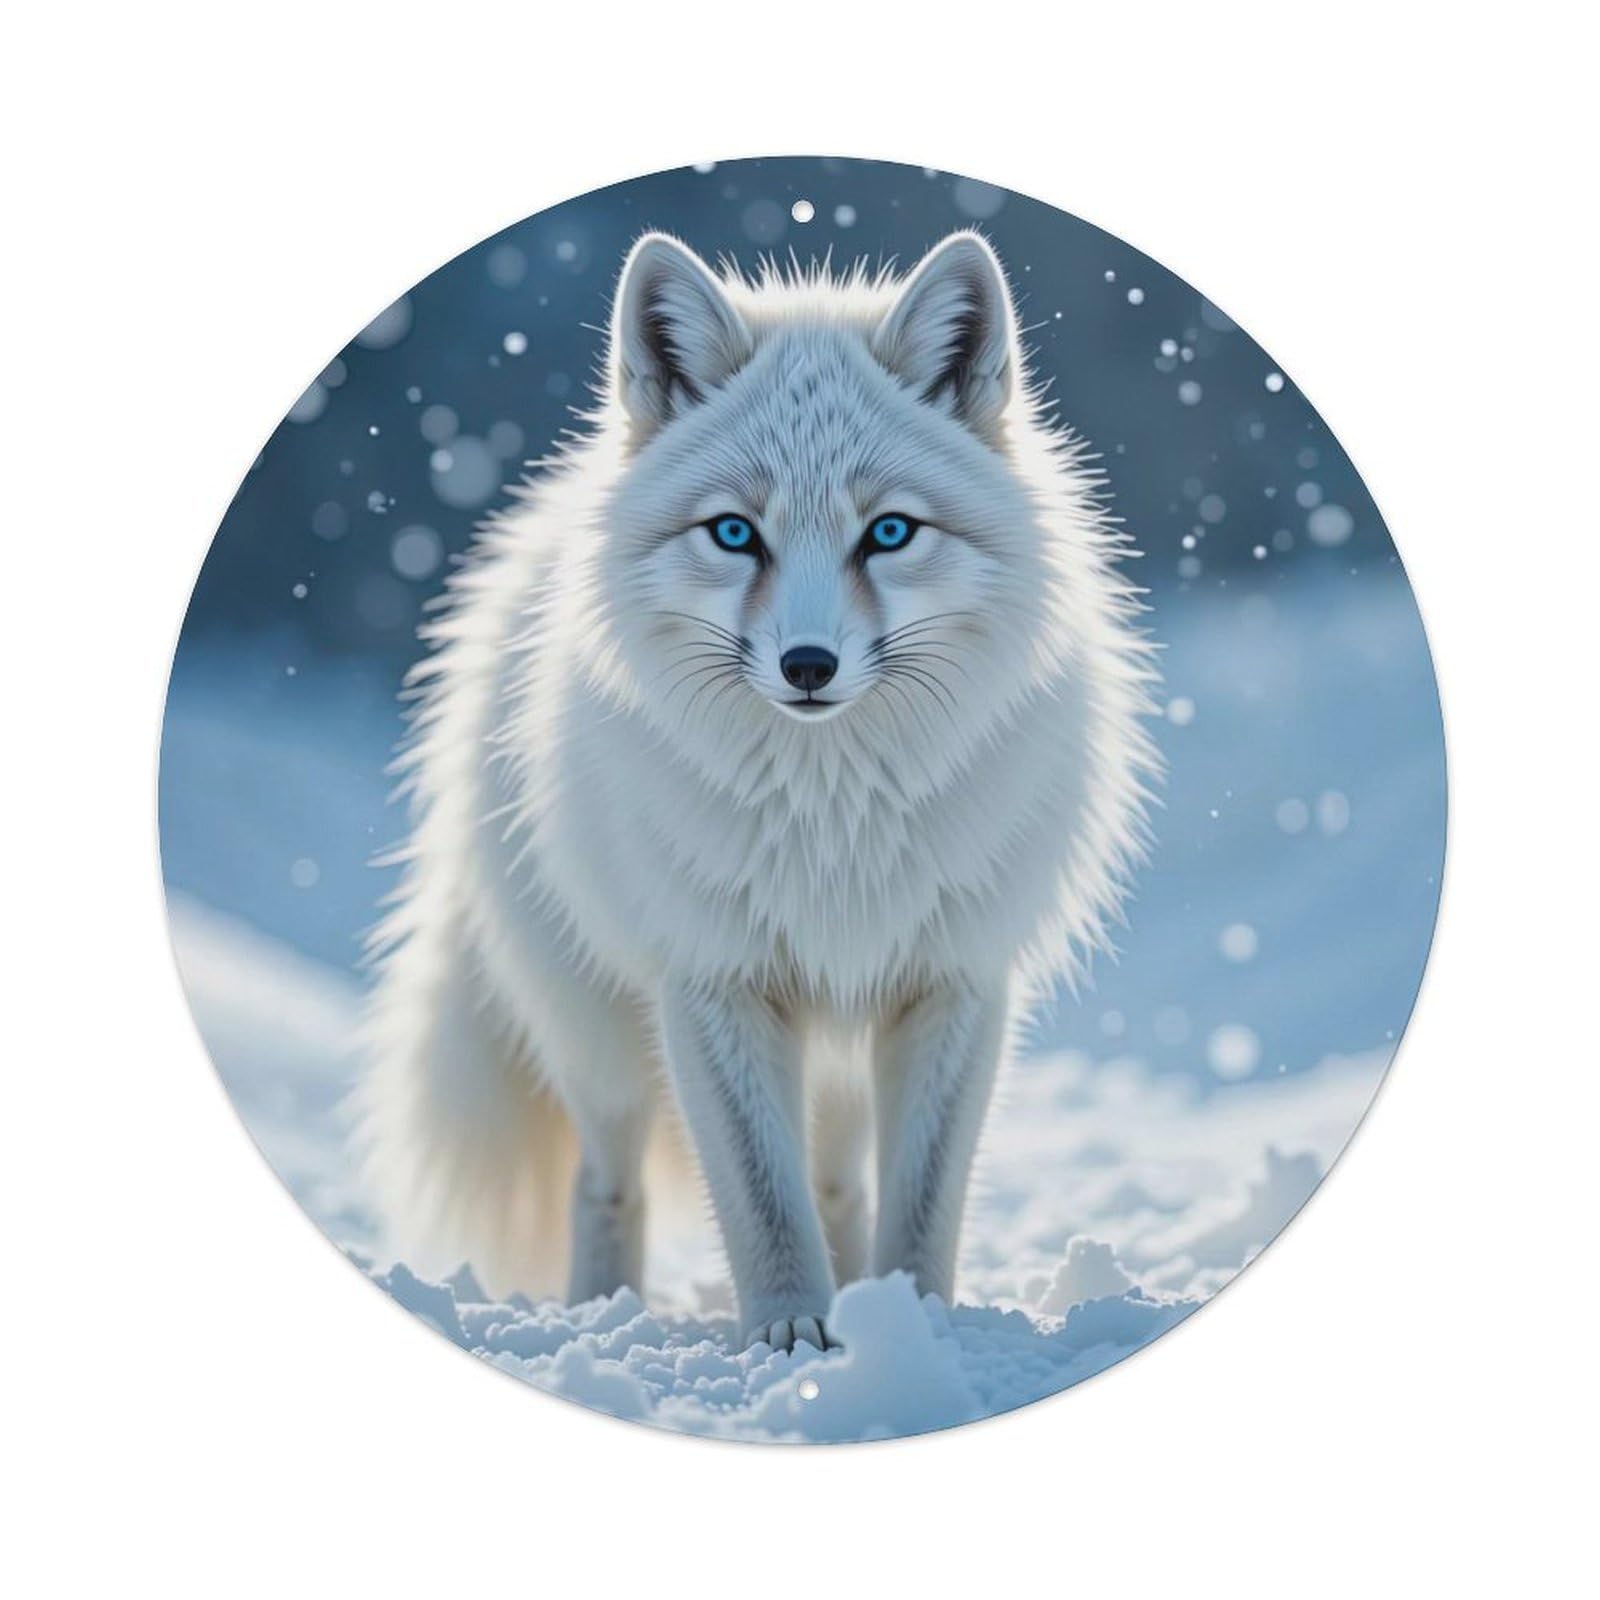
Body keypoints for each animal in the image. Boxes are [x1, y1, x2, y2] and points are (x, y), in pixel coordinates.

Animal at [357, 227, 1157, 1352]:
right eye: (735, 534)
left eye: (890, 533)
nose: (808, 666)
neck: (836, 820)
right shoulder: (713, 980)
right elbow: (759, 1196)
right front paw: (793, 1336)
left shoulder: (953, 979)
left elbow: (919, 1199)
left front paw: (911, 1323)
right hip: (601, 1041)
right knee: (608, 1183)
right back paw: (603, 1312)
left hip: (838, 1059)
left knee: (840, 1185)